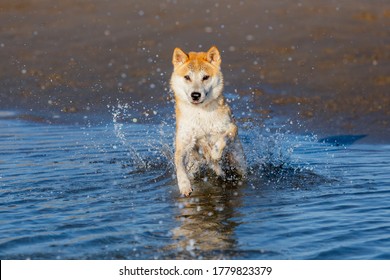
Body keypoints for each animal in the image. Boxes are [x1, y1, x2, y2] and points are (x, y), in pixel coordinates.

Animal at [169, 46, 245, 196]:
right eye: (187, 77)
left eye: (205, 77)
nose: (195, 95)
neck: (200, 114)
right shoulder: (183, 143)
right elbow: (179, 165)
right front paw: (184, 185)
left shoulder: (230, 127)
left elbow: (223, 139)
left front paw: (215, 153)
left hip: (239, 160)